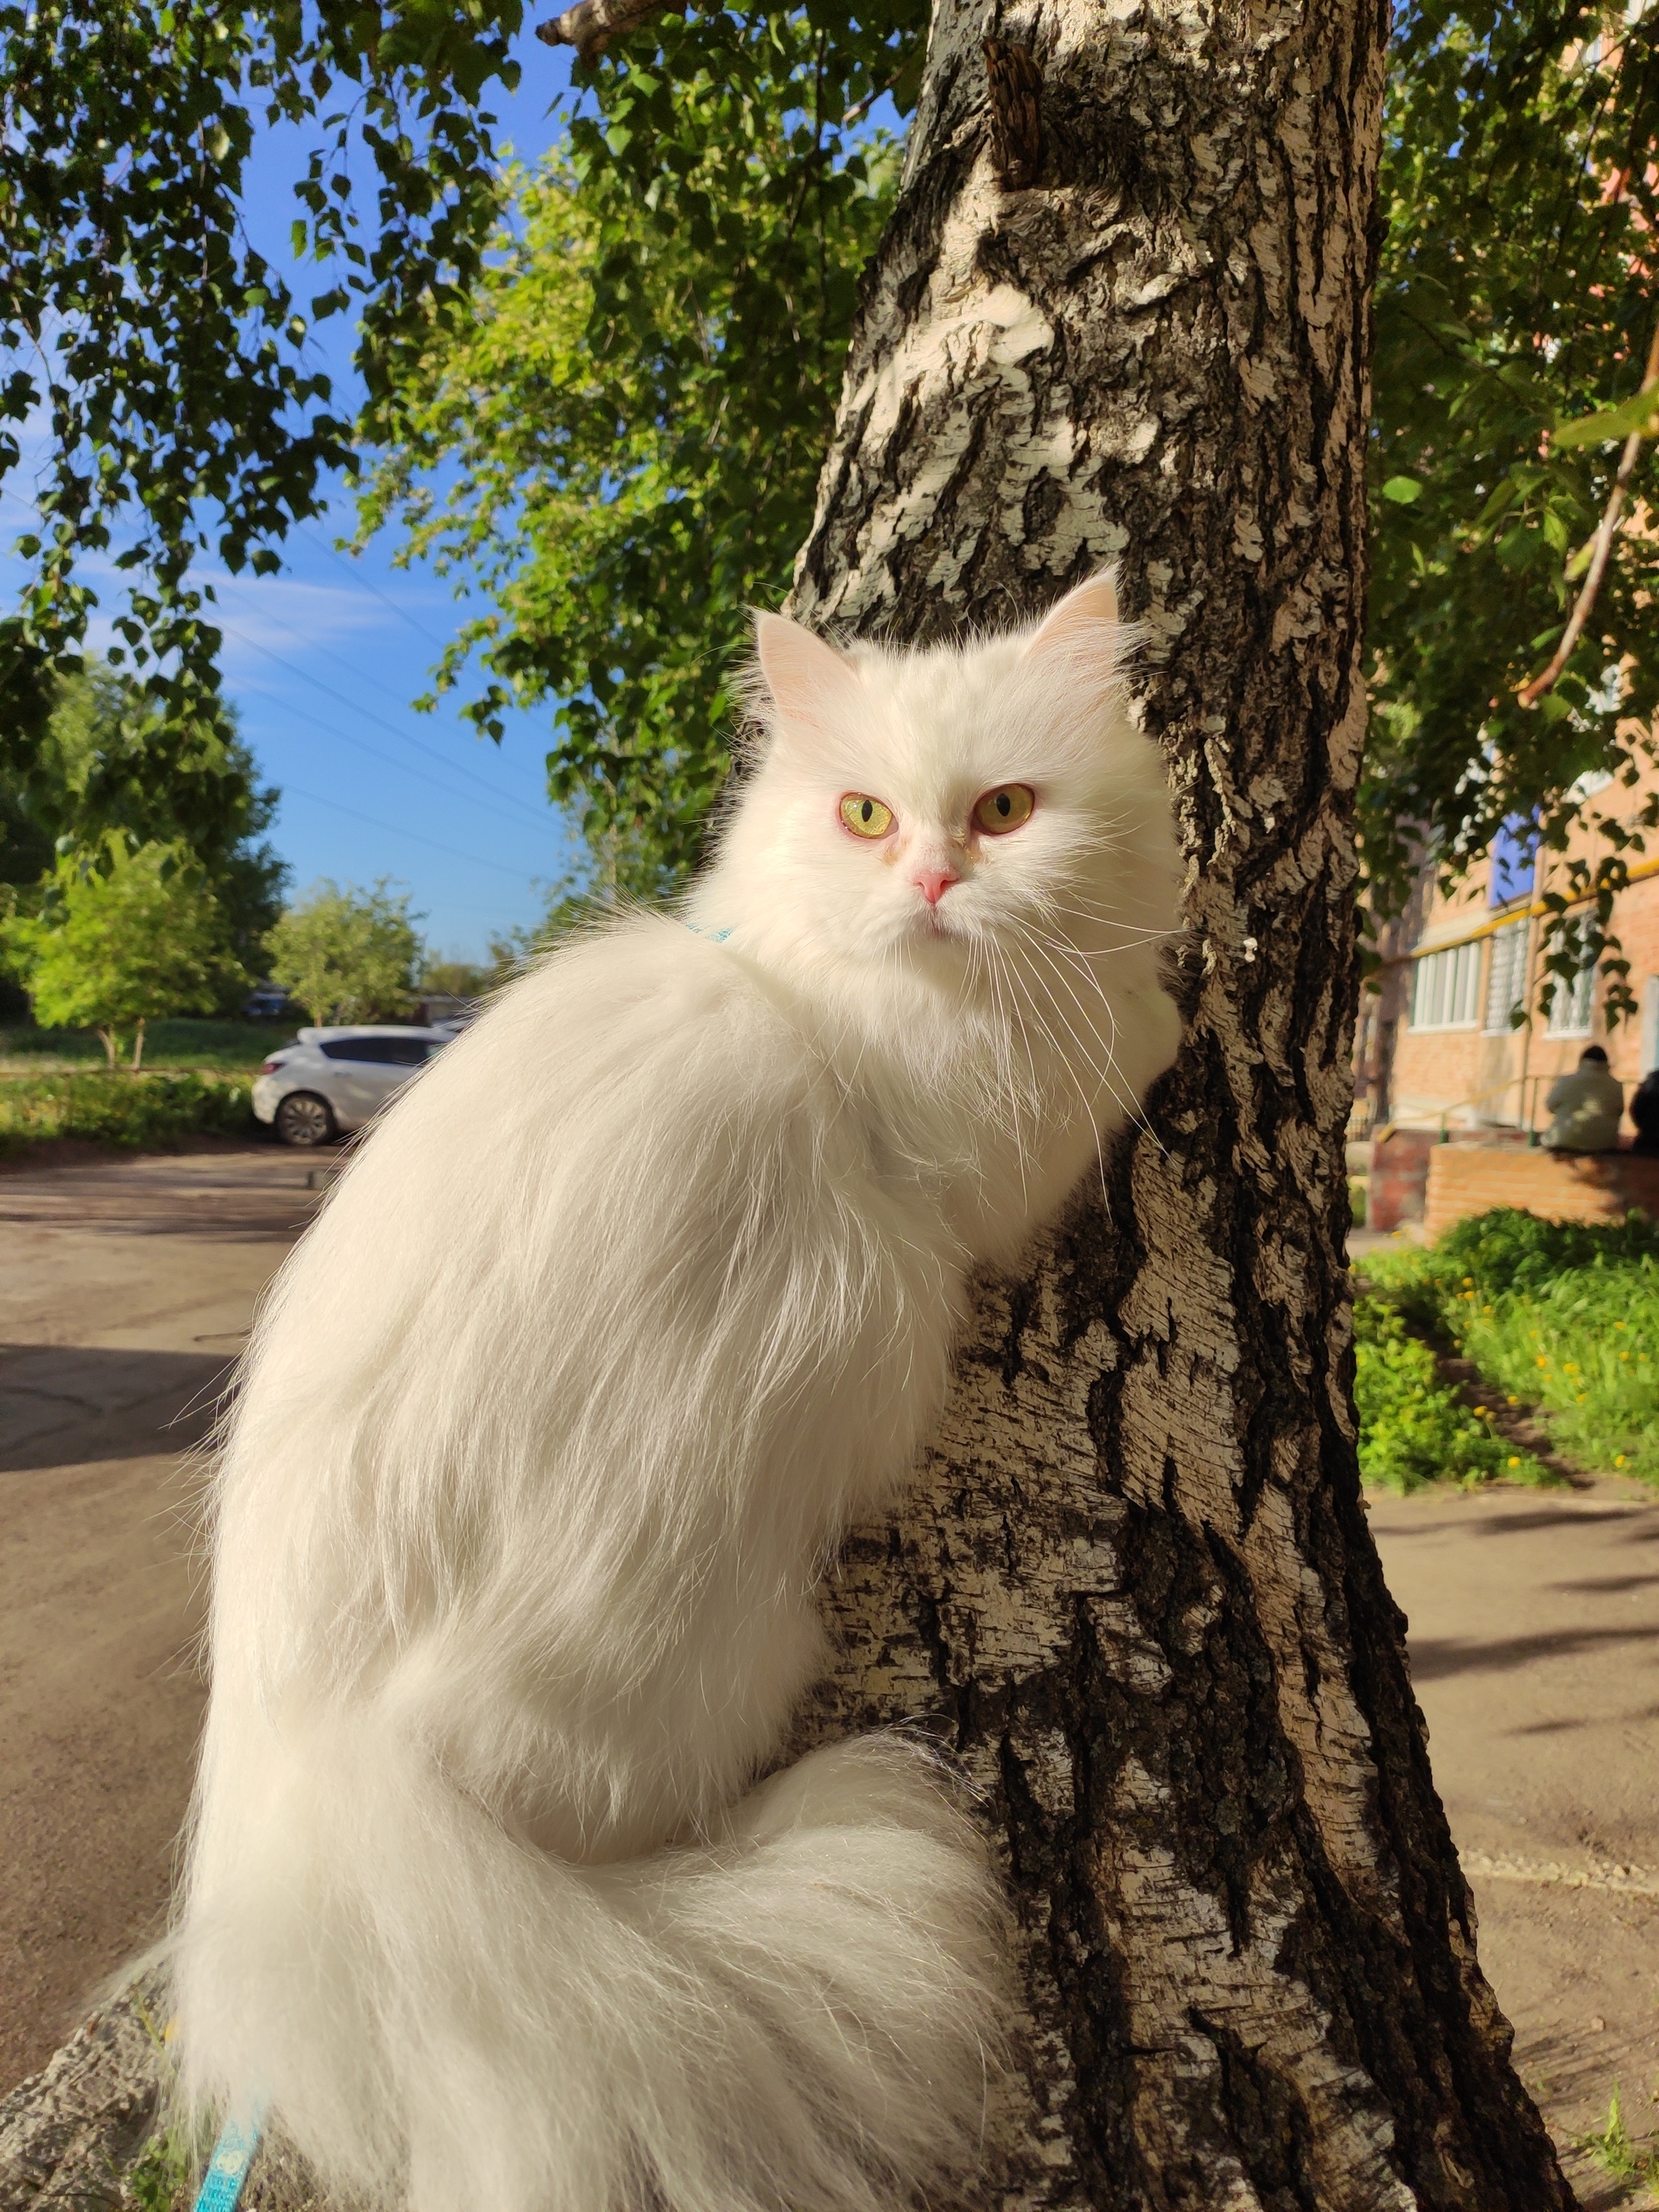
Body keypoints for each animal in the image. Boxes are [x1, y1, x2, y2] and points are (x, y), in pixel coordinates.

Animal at [172, 575, 1185, 2212]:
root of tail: (322, 1772)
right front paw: (1172, 1005)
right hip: (726, 1654)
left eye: (1005, 810)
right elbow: (1135, 1040)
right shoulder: (990, 1170)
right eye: (861, 814)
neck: (811, 983)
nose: (929, 881)